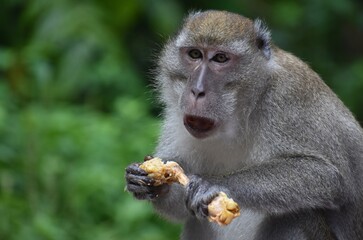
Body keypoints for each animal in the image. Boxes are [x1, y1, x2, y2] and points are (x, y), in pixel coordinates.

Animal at [126, 10, 363, 239]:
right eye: (194, 54)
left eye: (220, 58)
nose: (197, 90)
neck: (238, 118)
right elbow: (179, 207)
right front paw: (146, 181)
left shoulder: (288, 97)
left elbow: (327, 176)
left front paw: (215, 184)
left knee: (299, 215)